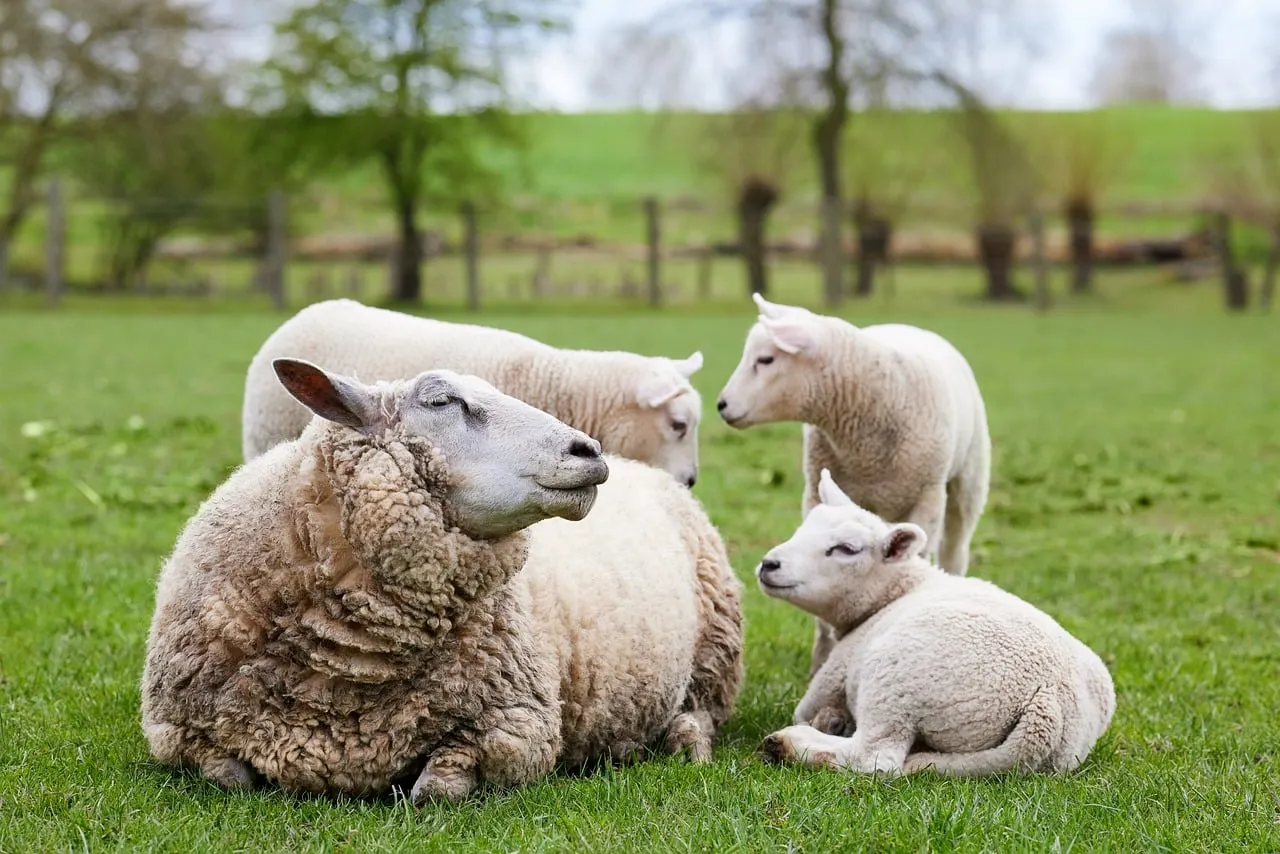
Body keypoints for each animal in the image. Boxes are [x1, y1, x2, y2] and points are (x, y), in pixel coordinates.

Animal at [142, 359, 743, 805]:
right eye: (441, 401)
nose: (588, 452)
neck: (343, 671)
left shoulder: (517, 727)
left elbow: (435, 791)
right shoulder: (172, 730)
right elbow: (228, 777)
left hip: (714, 649)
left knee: (701, 712)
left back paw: (680, 743)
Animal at [716, 293, 991, 677]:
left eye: (765, 359)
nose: (721, 405)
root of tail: (906, 325)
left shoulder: (927, 499)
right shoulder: (817, 491)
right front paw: (822, 659)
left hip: (967, 480)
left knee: (955, 549)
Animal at [754, 470, 1114, 778]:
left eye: (846, 549)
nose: (769, 564)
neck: (898, 591)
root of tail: (1046, 705)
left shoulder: (835, 670)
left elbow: (806, 709)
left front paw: (826, 720)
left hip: (897, 681)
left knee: (876, 757)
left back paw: (788, 744)